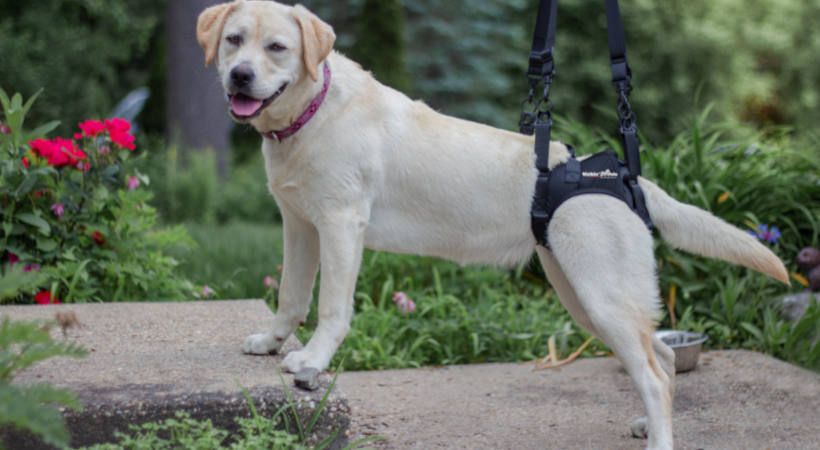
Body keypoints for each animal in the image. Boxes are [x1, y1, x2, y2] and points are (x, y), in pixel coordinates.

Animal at [197, 1, 788, 448]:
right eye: (233, 40)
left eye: (277, 48)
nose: (240, 75)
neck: (313, 112)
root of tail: (626, 176)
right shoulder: (299, 225)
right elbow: (291, 295)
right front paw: (272, 341)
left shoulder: (342, 226)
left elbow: (331, 308)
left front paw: (312, 362)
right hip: (584, 296)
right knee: (662, 359)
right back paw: (648, 424)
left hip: (602, 297)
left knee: (654, 373)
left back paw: (660, 438)